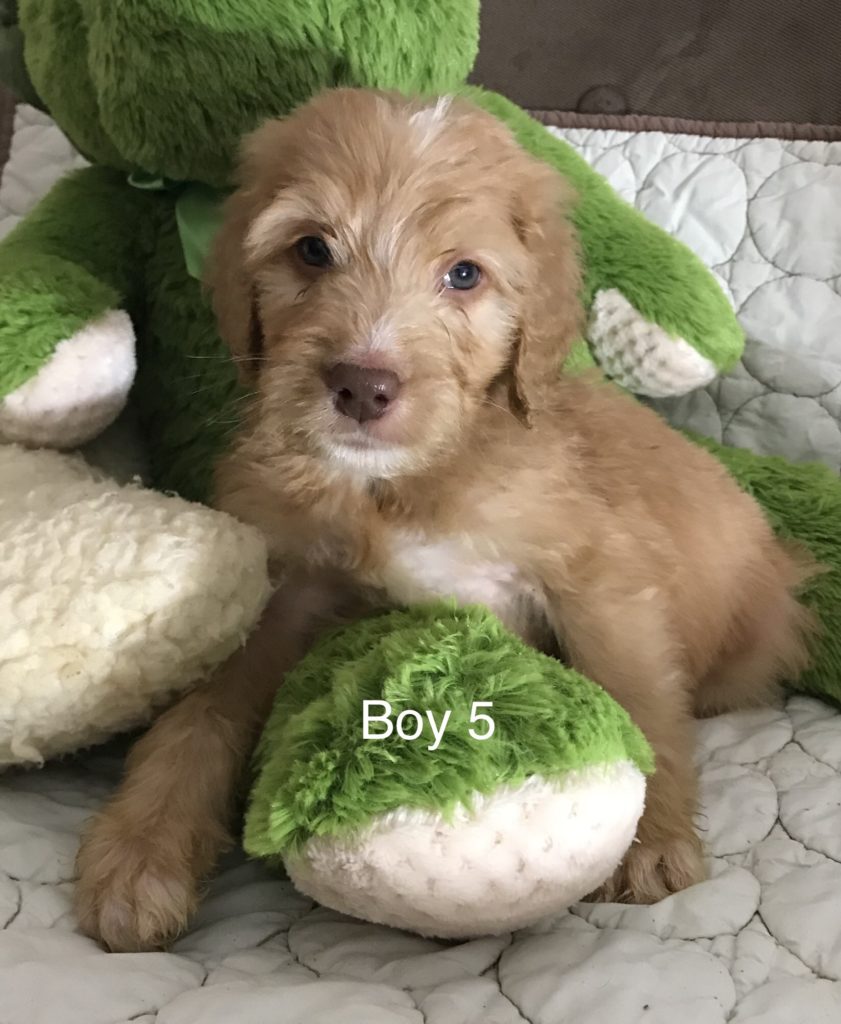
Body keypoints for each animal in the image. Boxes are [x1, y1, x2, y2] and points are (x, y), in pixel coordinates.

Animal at [73, 88, 815, 950]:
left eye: (463, 274)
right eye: (311, 250)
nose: (362, 386)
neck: (393, 486)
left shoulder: (597, 579)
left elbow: (639, 700)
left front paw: (653, 843)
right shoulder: (285, 586)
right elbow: (202, 712)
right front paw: (139, 849)